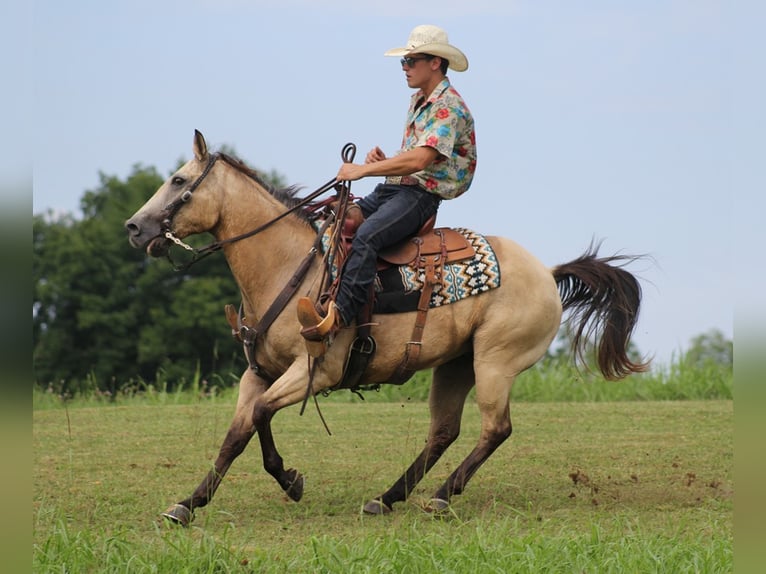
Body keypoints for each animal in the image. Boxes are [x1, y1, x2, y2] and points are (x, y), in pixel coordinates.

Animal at [124, 130, 648, 528]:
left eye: (178, 180)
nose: (133, 227)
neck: (289, 266)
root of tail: (547, 272)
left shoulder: (315, 372)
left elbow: (260, 417)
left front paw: (290, 480)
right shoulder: (258, 374)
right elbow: (237, 434)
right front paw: (188, 505)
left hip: (495, 362)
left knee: (495, 429)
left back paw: (440, 496)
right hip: (457, 364)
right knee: (444, 431)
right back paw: (388, 496)